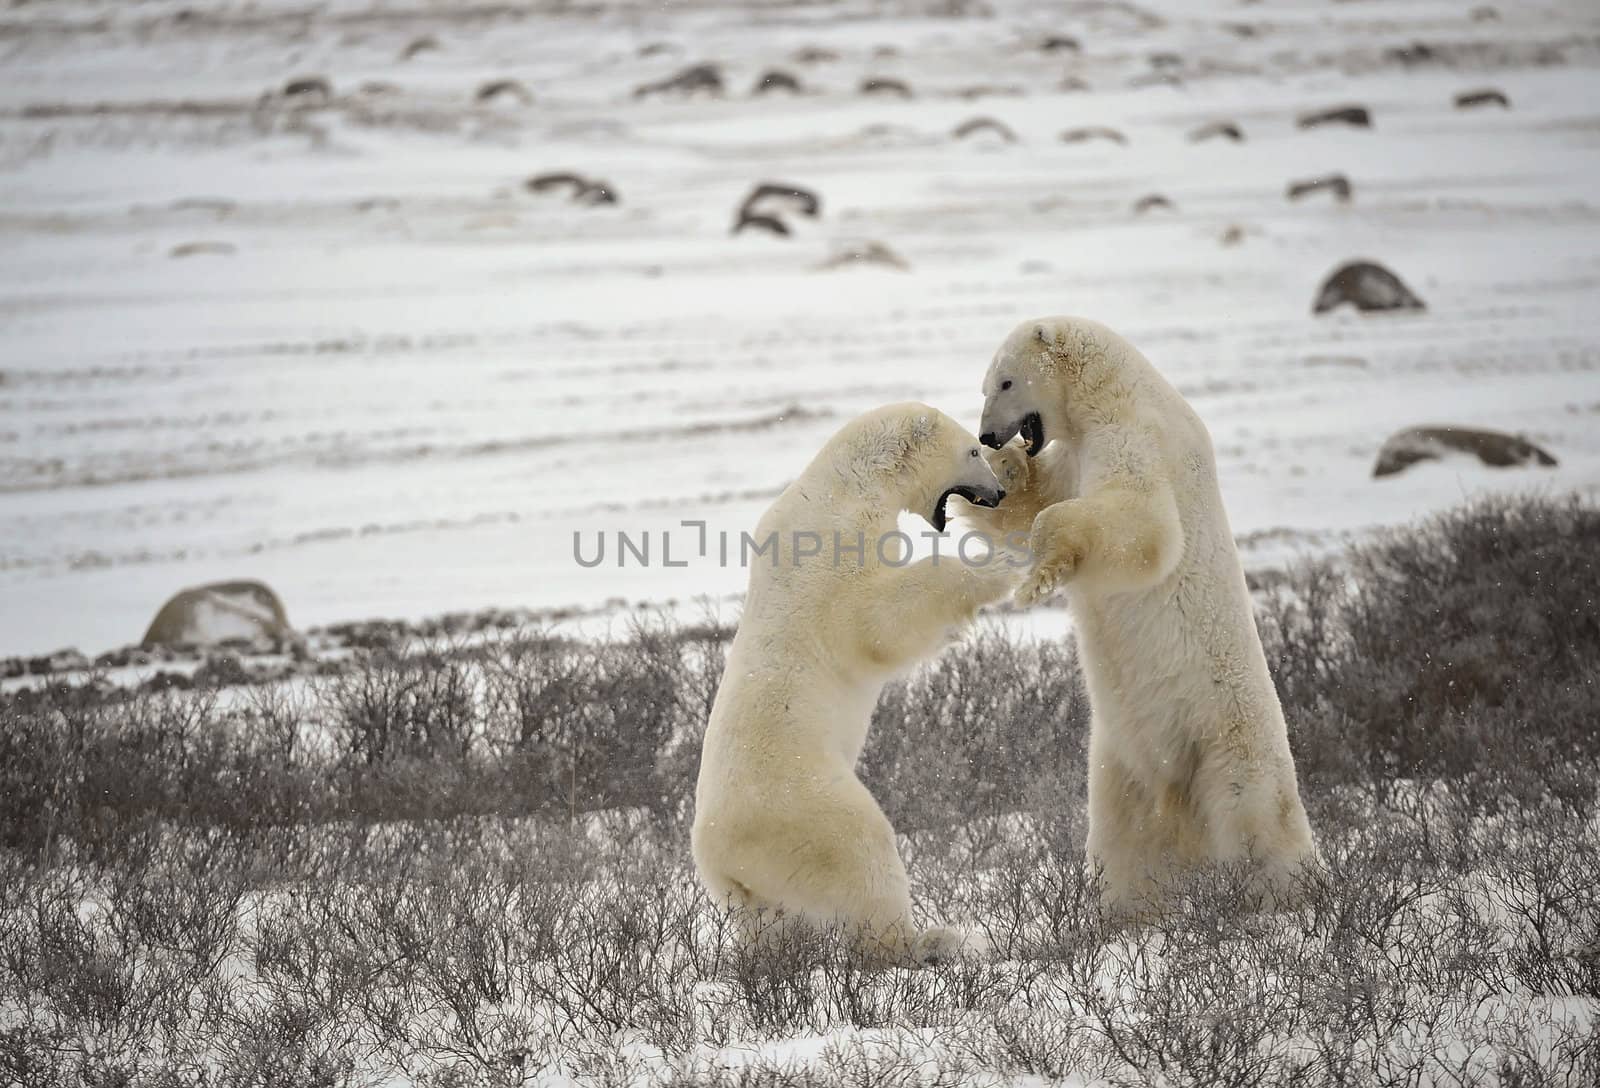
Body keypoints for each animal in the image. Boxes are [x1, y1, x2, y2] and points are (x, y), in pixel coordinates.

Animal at [694, 403, 1017, 966]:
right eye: (974, 450)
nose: (999, 492)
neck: (844, 488)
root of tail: (718, 855)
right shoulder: (833, 555)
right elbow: (877, 622)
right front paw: (995, 565)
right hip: (806, 807)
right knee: (864, 854)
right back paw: (929, 940)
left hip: (751, 891)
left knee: (768, 927)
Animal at [966, 315, 1318, 908]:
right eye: (985, 384)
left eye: (1006, 382)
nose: (988, 435)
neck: (1109, 389)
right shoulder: (1074, 454)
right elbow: (1034, 500)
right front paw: (997, 473)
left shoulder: (1134, 434)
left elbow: (1144, 526)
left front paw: (1039, 578)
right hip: (1118, 763)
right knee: (1122, 848)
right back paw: (1118, 912)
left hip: (1229, 750)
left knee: (1259, 830)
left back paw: (1292, 898)